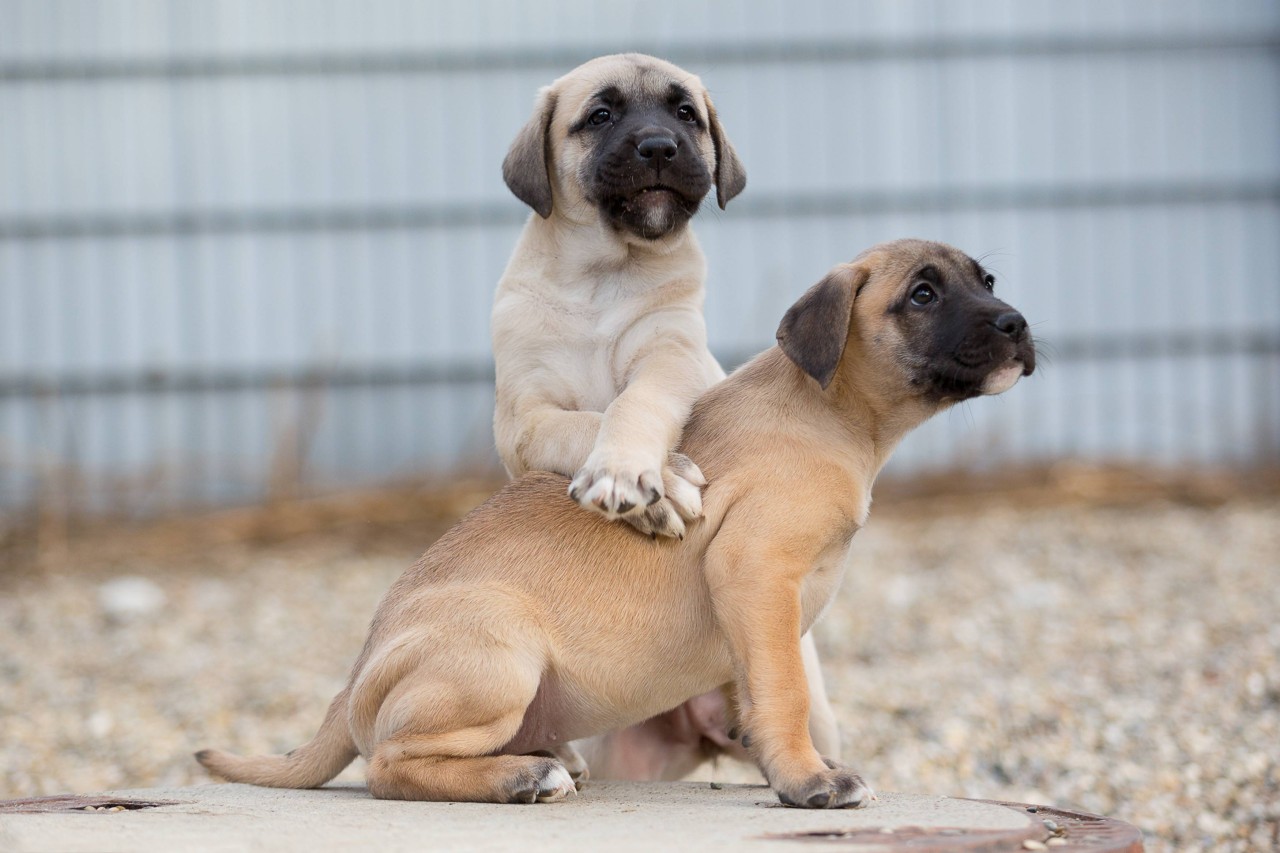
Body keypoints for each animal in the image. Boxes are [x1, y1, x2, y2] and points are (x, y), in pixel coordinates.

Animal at [202, 236, 1039, 804]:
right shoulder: (755, 570)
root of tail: (356, 671)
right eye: (922, 294)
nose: (1017, 324)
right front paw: (808, 780)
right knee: (387, 765)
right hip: (501, 646)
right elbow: (785, 690)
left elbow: (757, 690)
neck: (830, 414)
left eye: (987, 280)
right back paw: (520, 776)